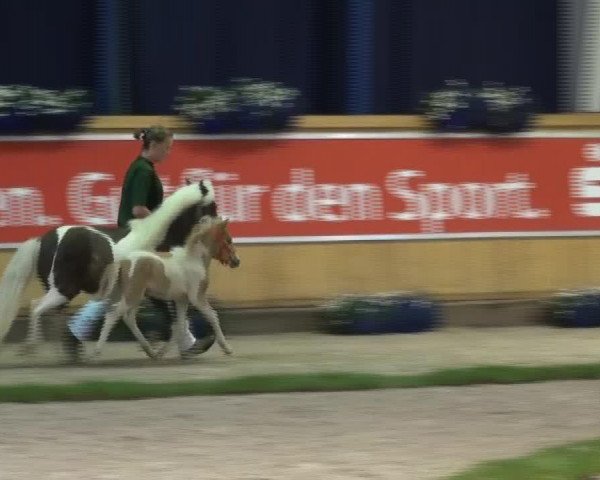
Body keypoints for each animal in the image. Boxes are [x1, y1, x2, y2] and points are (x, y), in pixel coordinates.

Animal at [95, 216, 240, 358]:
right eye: (228, 240)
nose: (237, 261)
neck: (194, 259)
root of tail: (124, 260)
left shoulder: (182, 300)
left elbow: (180, 324)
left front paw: (168, 351)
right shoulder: (197, 297)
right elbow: (213, 316)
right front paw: (227, 348)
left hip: (135, 295)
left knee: (128, 318)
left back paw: (151, 351)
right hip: (133, 294)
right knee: (113, 315)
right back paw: (96, 352)